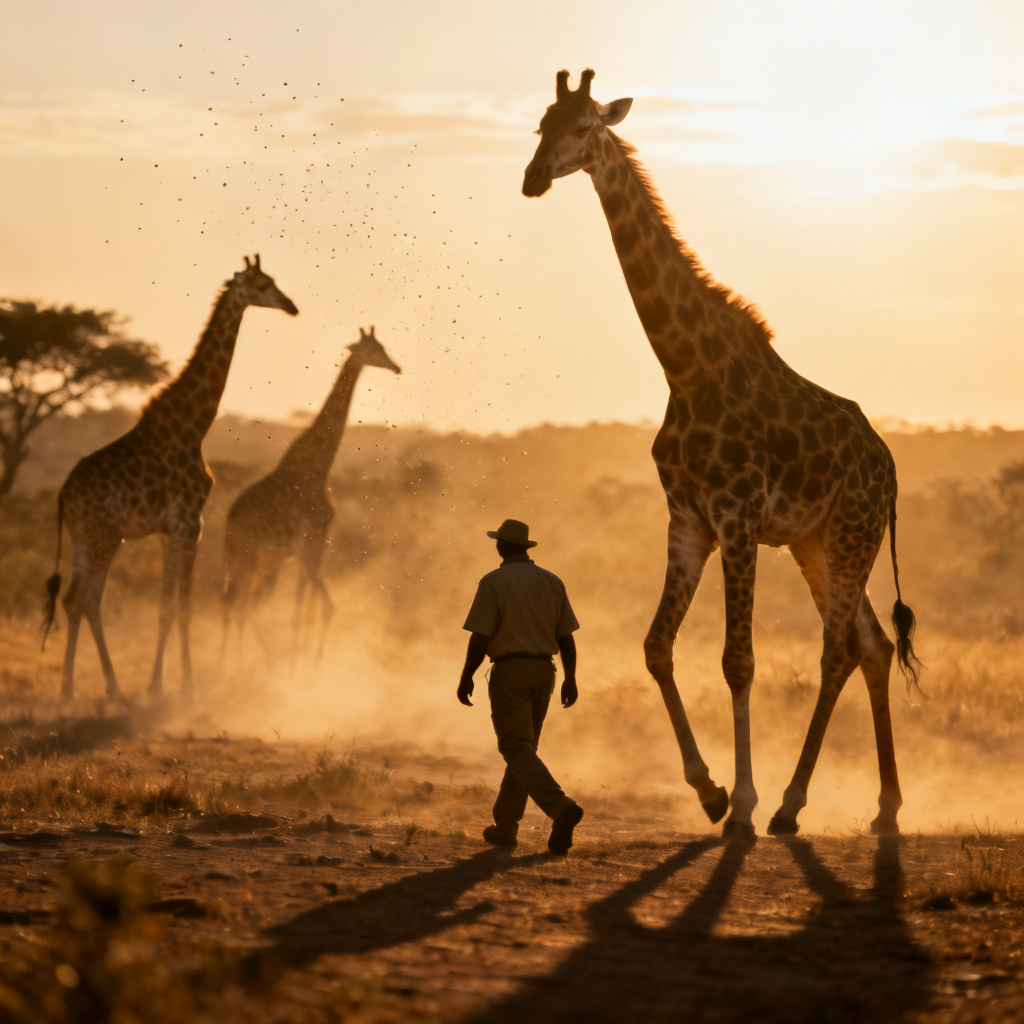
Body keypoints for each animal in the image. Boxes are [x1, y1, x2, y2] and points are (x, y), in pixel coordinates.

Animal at [43, 255, 298, 701]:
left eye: (273, 281)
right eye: (263, 284)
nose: (291, 306)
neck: (194, 426)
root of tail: (64, 495)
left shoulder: (175, 529)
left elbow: (182, 607)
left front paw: (175, 681)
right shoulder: (187, 523)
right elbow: (174, 608)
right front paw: (168, 685)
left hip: (84, 536)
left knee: (79, 600)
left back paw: (82, 688)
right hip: (105, 535)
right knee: (86, 599)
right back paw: (102, 687)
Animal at [220, 326, 401, 656]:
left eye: (382, 346)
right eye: (374, 350)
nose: (396, 367)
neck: (318, 467)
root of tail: (229, 519)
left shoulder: (310, 548)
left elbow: (306, 609)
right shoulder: (314, 543)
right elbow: (320, 609)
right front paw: (307, 663)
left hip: (261, 560)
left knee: (240, 605)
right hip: (248, 555)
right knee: (239, 606)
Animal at [523, 70, 920, 839]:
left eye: (584, 127)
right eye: (540, 126)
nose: (531, 179)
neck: (684, 368)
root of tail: (890, 472)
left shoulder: (737, 519)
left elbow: (739, 659)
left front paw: (740, 803)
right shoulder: (688, 520)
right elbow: (656, 645)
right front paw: (707, 792)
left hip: (850, 534)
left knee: (838, 649)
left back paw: (791, 807)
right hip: (815, 543)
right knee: (873, 646)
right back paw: (884, 807)